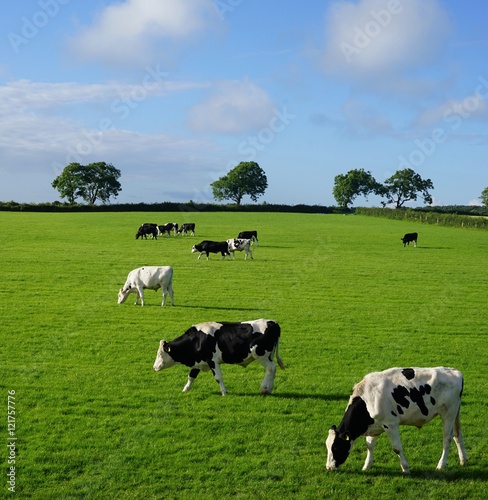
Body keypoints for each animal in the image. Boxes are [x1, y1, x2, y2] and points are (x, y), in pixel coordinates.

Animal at [152, 318, 282, 396]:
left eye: (160, 354)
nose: (154, 367)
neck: (197, 339)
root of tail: (273, 323)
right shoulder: (198, 362)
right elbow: (191, 376)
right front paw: (185, 390)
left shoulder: (212, 361)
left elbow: (218, 377)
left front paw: (224, 392)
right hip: (268, 356)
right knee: (273, 368)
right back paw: (269, 389)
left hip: (260, 354)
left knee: (270, 368)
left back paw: (264, 388)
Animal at [326, 366, 468, 474]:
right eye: (327, 446)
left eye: (336, 447)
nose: (329, 467)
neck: (368, 399)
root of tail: (455, 372)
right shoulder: (375, 425)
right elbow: (369, 446)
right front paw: (367, 466)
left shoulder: (390, 424)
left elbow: (397, 448)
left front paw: (406, 468)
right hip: (455, 413)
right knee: (458, 434)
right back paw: (464, 460)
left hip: (448, 413)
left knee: (447, 438)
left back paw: (441, 465)